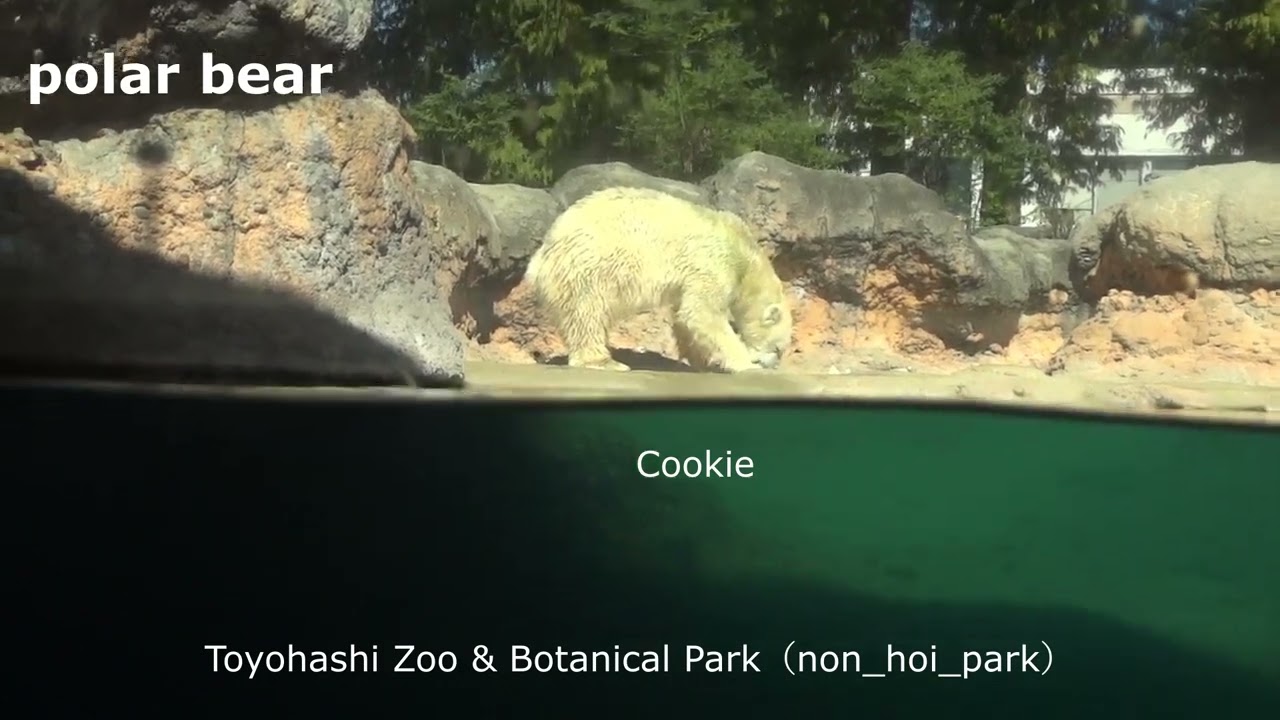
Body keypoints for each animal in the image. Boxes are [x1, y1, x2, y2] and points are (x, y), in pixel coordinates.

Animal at [522, 186, 793, 373]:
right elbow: (703, 313)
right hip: (587, 266)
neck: (744, 253)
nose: (774, 363)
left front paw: (703, 362)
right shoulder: (713, 263)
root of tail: (542, 256)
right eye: (778, 347)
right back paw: (605, 362)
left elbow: (685, 318)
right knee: (587, 313)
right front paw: (746, 364)